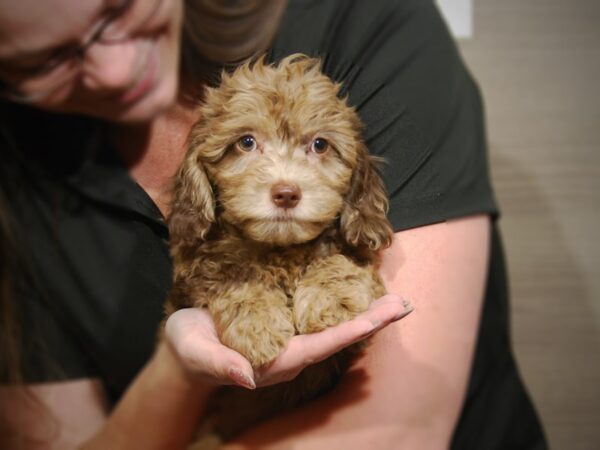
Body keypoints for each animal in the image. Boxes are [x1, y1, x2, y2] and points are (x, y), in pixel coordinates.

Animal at [165, 54, 394, 448]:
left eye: (320, 145)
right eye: (246, 142)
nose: (286, 193)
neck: (280, 248)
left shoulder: (359, 254)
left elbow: (341, 263)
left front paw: (329, 300)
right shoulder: (195, 270)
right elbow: (234, 277)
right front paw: (257, 325)